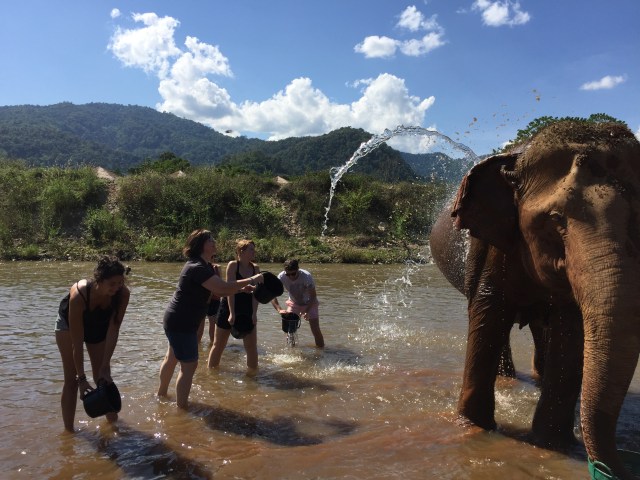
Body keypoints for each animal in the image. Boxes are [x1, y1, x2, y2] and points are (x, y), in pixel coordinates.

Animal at [429, 120, 640, 479]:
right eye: (555, 220)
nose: (608, 470)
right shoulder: (491, 240)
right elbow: (490, 309)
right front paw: (473, 428)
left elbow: (569, 329)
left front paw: (551, 444)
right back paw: (509, 378)